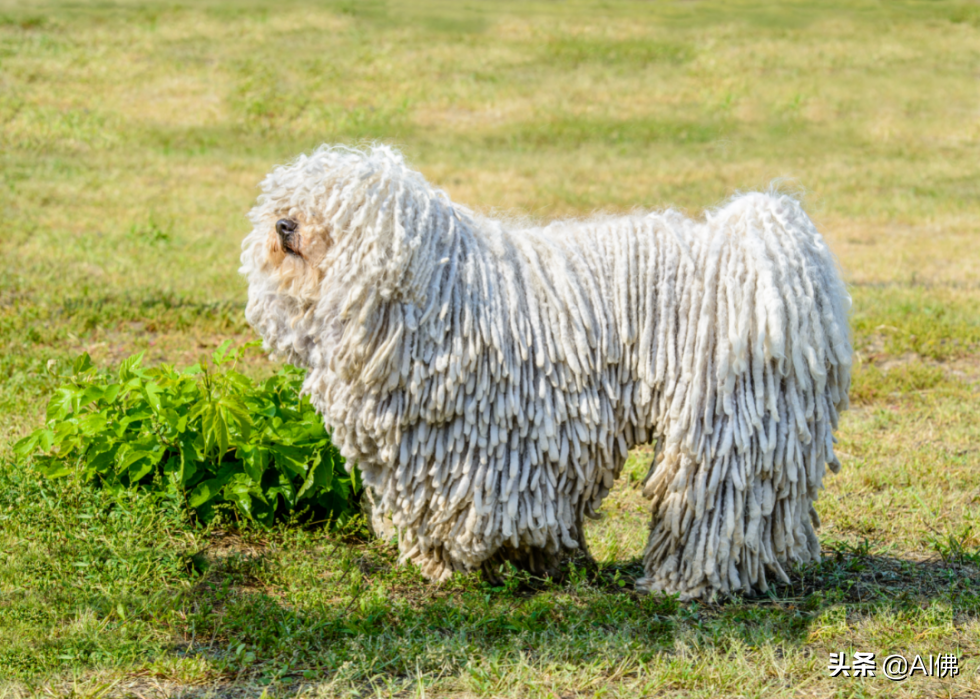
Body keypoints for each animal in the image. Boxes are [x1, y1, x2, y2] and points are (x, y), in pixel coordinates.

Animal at [239, 144, 848, 600]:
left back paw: (688, 582)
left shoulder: (488, 443)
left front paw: (476, 564)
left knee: (714, 502)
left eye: (336, 209)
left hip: (722, 419)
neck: (434, 292)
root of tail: (766, 251)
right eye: (289, 198)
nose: (285, 224)